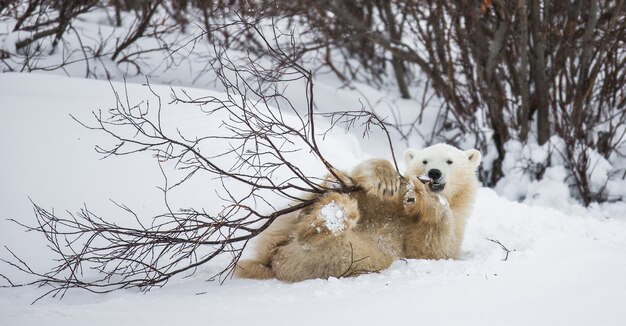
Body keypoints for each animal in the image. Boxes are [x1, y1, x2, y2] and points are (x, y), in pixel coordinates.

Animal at [233, 144, 478, 282]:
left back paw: (323, 224)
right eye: (424, 160)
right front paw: (384, 176)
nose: (433, 173)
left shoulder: (453, 230)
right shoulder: (384, 203)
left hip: (346, 257)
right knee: (316, 198)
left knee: (343, 252)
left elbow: (433, 246)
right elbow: (367, 190)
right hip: (285, 223)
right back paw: (333, 204)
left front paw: (418, 194)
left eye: (449, 161)